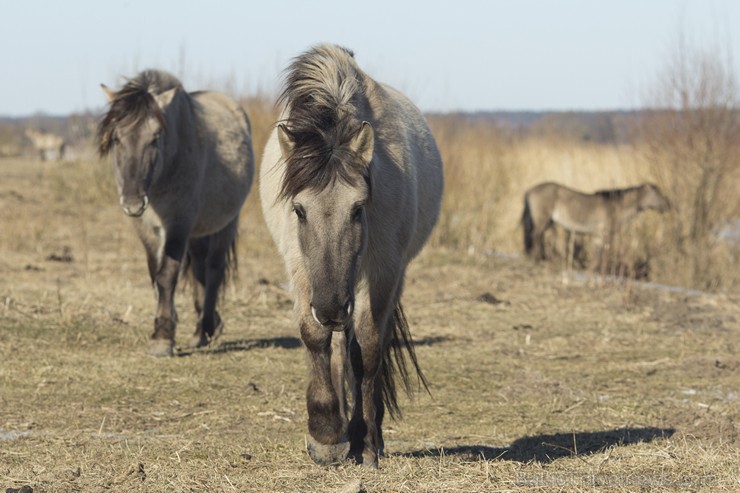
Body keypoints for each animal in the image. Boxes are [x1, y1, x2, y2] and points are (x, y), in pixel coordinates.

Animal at [98, 69, 254, 356]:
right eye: (116, 138)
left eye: (155, 137)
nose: (133, 204)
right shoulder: (147, 229)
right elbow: (155, 275)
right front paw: (166, 325)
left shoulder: (178, 225)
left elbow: (167, 275)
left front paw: (162, 337)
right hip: (198, 231)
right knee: (200, 271)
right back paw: (201, 329)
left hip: (225, 223)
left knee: (214, 270)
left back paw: (206, 327)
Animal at [262, 45, 446, 466]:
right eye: (299, 210)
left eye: (358, 209)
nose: (331, 308)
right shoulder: (302, 271)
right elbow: (315, 338)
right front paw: (327, 434)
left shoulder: (381, 274)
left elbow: (367, 351)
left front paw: (366, 441)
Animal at [520, 181, 672, 266]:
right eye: (657, 194)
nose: (668, 206)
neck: (615, 207)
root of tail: (530, 190)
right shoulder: (602, 234)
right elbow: (599, 255)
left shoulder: (600, 236)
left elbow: (598, 254)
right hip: (542, 220)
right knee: (536, 237)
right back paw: (538, 260)